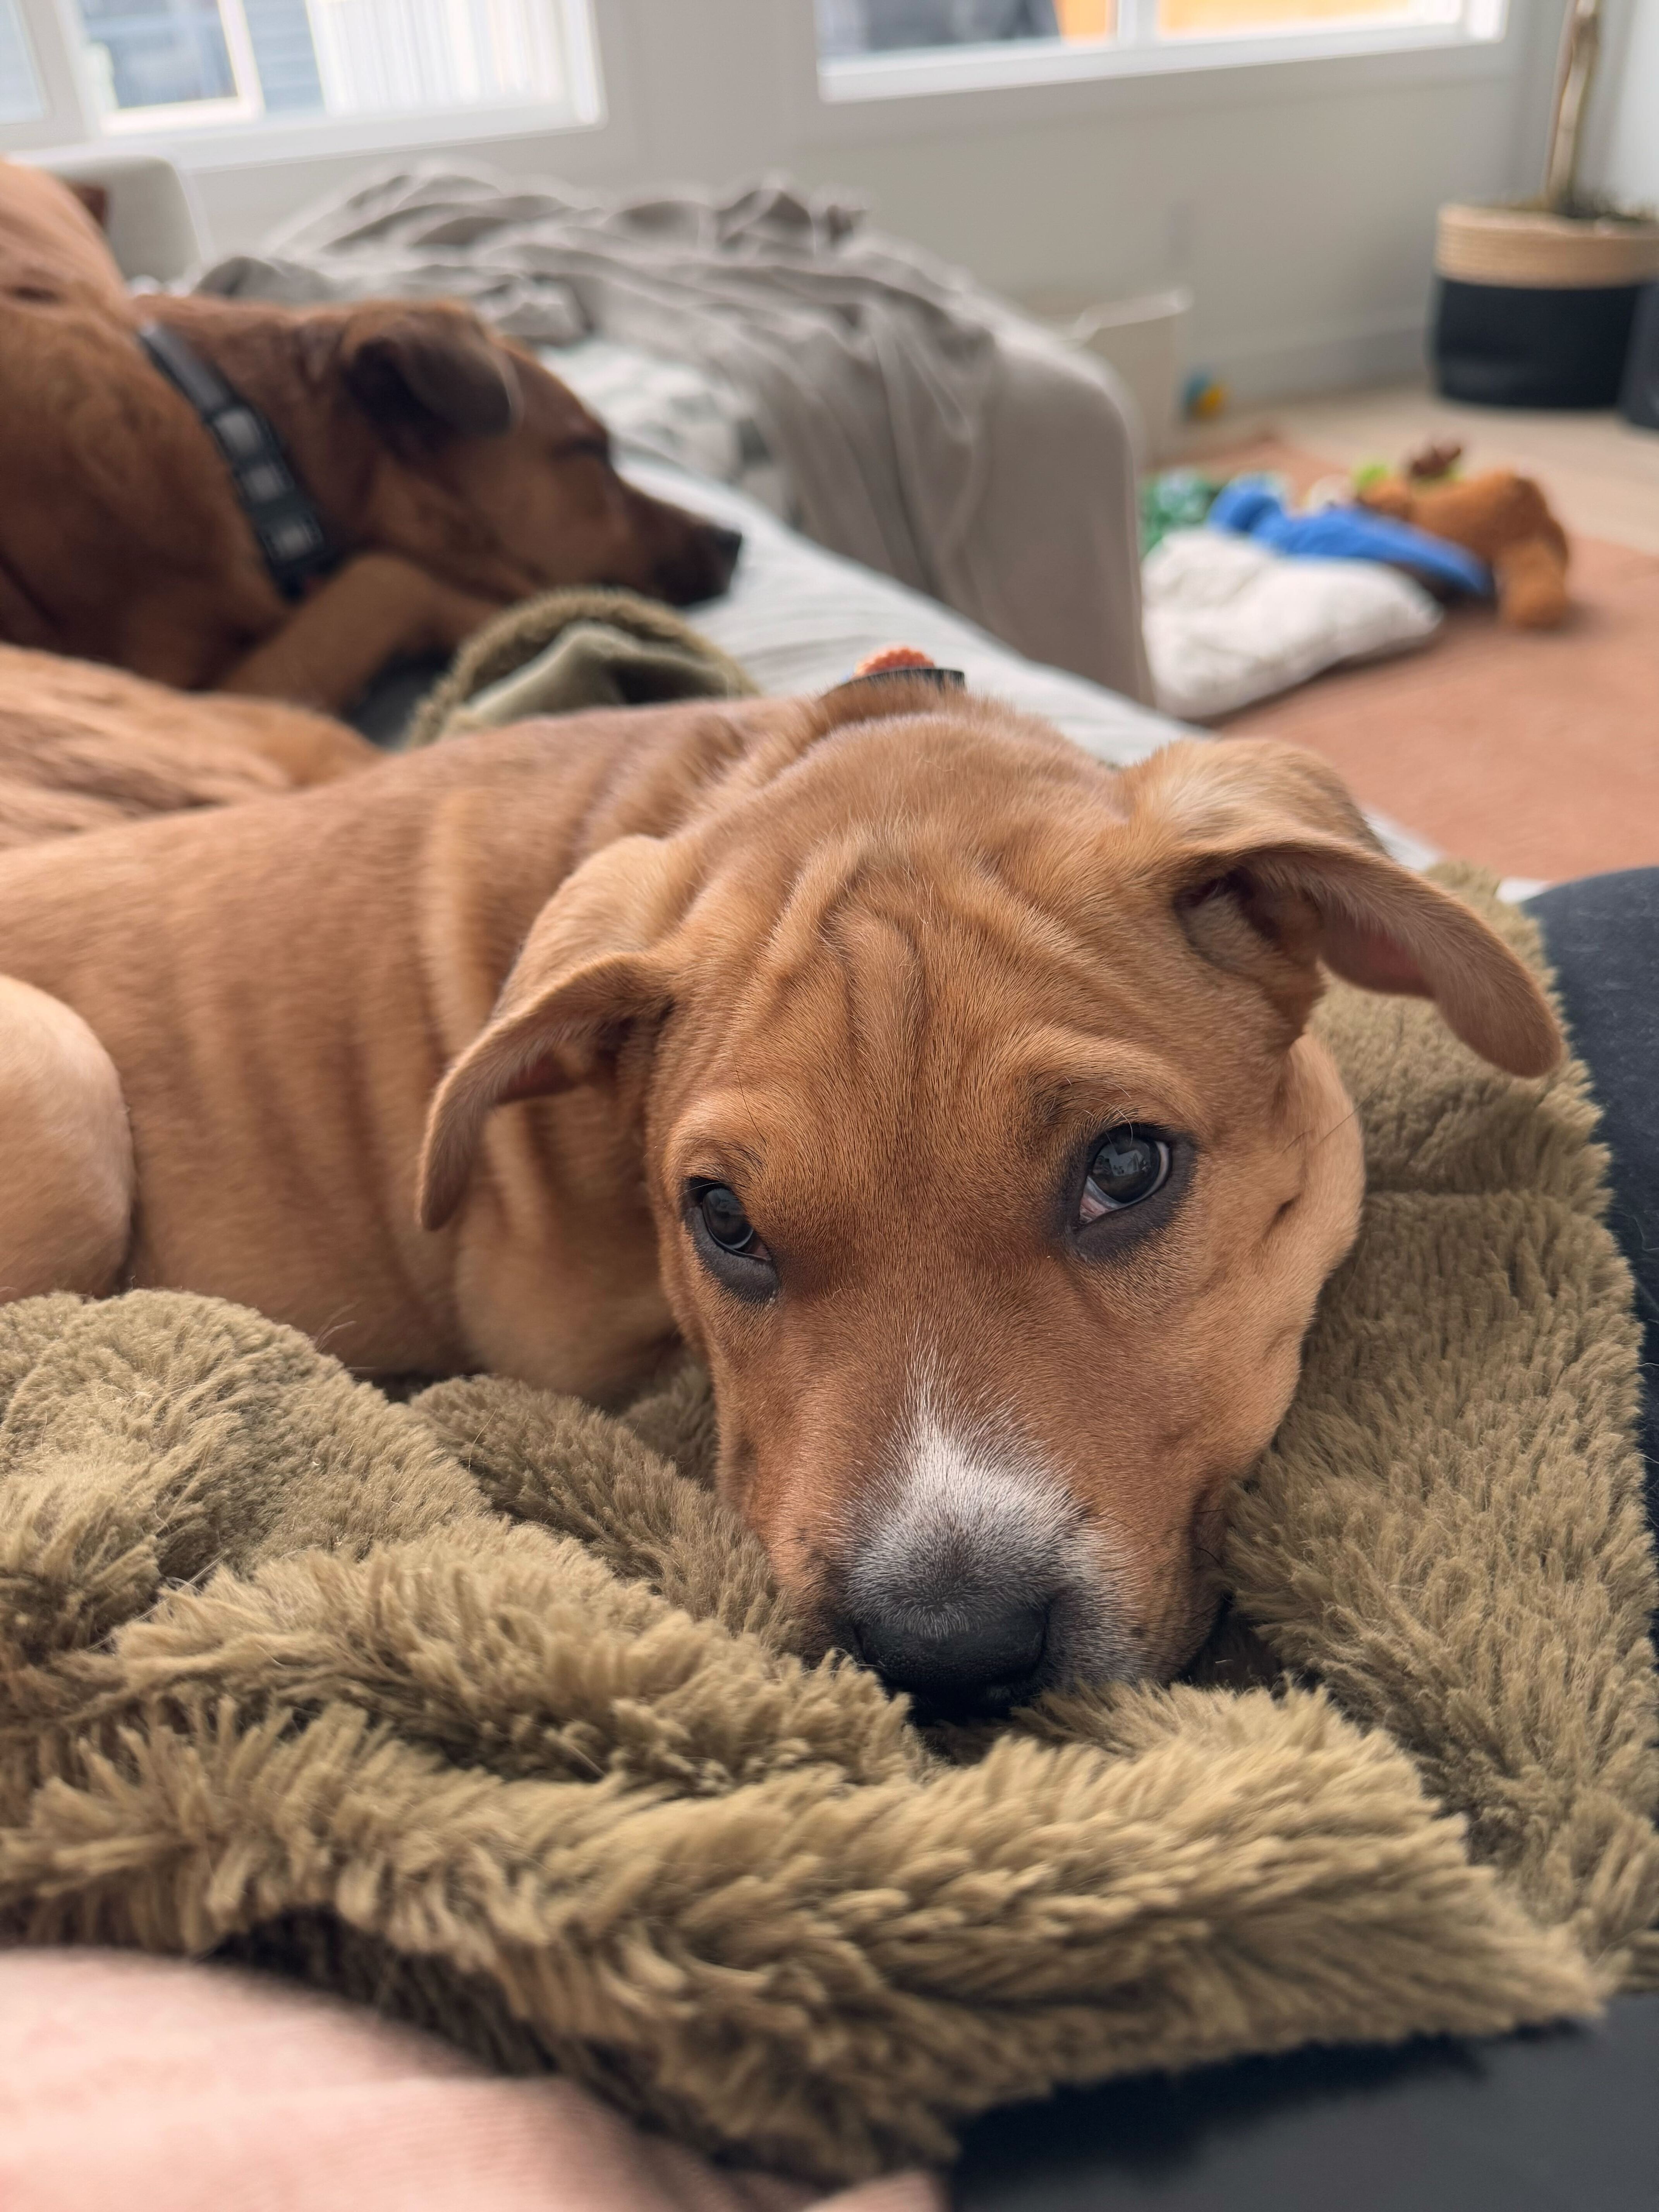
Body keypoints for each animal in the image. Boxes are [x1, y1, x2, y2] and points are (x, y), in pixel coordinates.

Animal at [0, 161, 742, 713]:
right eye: (590, 451)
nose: (734, 538)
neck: (234, 441)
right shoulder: (202, 698)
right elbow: (393, 576)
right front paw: (523, 617)